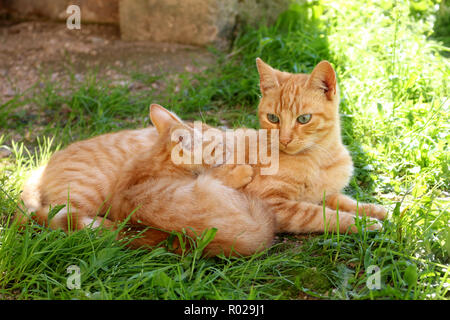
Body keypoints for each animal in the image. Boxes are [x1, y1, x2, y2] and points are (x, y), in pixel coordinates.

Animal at [17, 105, 274, 258]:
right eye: (215, 142)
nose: (224, 137)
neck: (157, 160)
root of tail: (41, 168)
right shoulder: (204, 178)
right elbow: (218, 174)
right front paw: (240, 171)